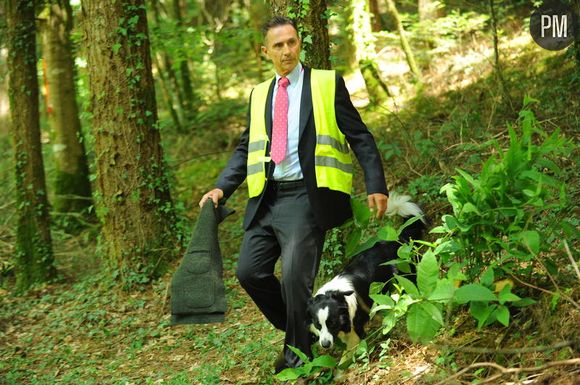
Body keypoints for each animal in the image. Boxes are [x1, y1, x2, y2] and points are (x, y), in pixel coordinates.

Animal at [308, 194, 426, 352]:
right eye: (318, 325)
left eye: (332, 323)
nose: (325, 345)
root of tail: (397, 239)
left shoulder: (354, 328)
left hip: (405, 276)